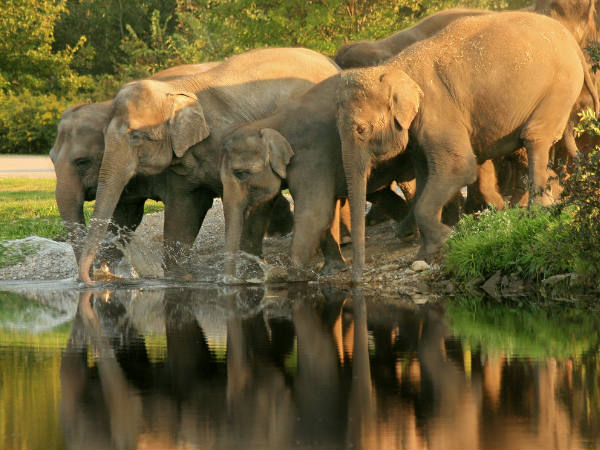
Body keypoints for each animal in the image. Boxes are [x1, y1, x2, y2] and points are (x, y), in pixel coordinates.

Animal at [78, 46, 342, 284]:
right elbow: (183, 210)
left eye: (136, 136)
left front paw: (248, 275)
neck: (177, 89)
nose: (92, 280)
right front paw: (180, 278)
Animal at [338, 11, 592, 282]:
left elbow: (458, 168)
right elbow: (425, 175)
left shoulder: (437, 110)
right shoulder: (418, 130)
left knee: (535, 138)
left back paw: (536, 210)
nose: (355, 280)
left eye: (361, 130)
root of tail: (573, 43)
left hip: (559, 86)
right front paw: (426, 252)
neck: (393, 67)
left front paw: (445, 238)